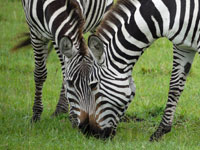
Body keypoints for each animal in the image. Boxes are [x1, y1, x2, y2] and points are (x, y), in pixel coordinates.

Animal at [60, 0, 200, 140]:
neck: (168, 12)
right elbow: (175, 87)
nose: (89, 132)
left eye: (93, 85)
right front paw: (160, 132)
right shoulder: (182, 47)